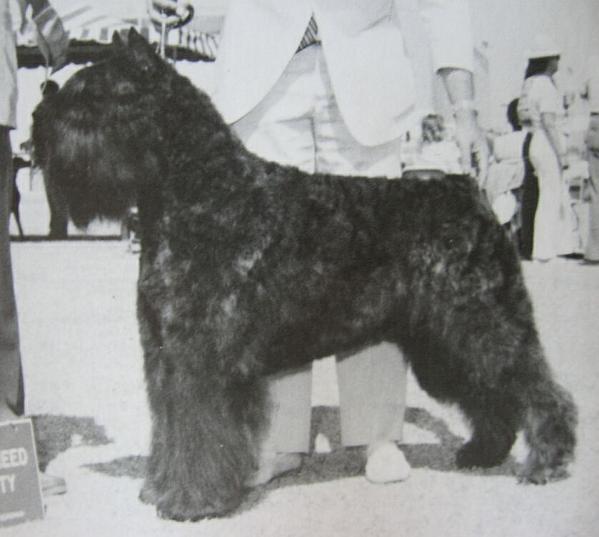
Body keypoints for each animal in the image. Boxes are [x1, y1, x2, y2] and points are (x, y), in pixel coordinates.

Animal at [31, 29, 576, 520]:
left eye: (92, 96)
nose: (38, 121)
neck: (201, 189)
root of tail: (468, 189)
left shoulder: (198, 359)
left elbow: (198, 431)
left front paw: (190, 501)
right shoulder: (164, 356)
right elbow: (170, 429)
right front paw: (161, 488)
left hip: (482, 325)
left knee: (536, 388)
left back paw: (547, 462)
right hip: (442, 342)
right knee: (490, 394)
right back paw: (483, 451)